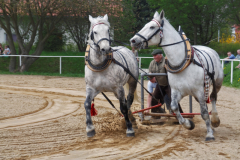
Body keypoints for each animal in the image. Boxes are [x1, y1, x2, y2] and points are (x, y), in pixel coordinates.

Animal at [130, 10, 224, 141]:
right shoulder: (176, 91)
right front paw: (188, 124)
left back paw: (214, 120)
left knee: (213, 98)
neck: (183, 61)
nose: (133, 40)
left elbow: (204, 113)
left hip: (217, 83)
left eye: (152, 27)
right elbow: (174, 107)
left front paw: (209, 133)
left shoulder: (199, 91)